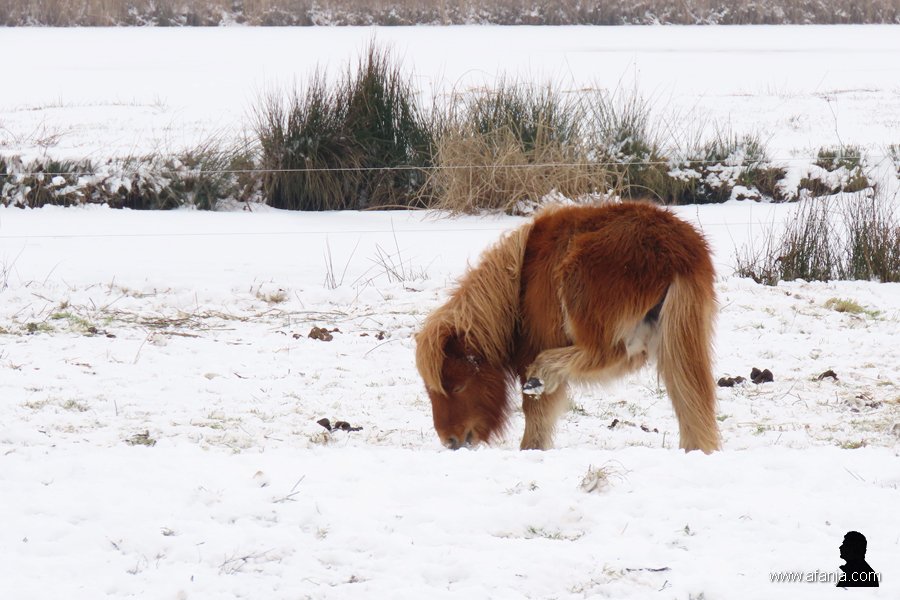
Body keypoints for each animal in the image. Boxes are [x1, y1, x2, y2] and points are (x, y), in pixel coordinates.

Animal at [415, 201, 720, 453]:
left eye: (458, 387)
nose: (449, 440)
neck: (518, 286)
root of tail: (677, 252)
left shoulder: (536, 344)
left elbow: (536, 411)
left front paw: (530, 449)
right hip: (676, 339)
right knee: (684, 395)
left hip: (579, 290)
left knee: (605, 353)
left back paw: (542, 374)